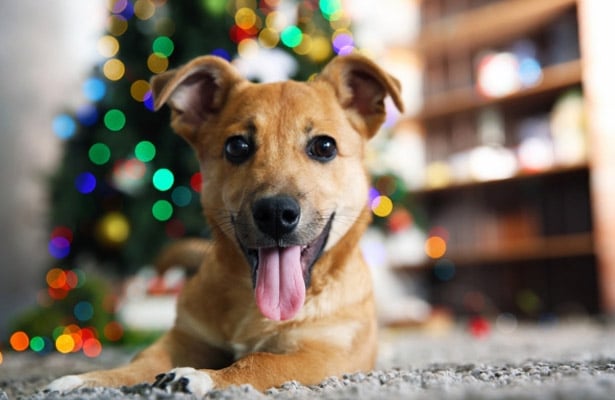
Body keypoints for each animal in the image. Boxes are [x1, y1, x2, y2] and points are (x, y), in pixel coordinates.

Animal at [46, 53, 403, 396]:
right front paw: (85, 381)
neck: (253, 305)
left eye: (324, 146)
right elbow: (140, 362)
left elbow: (259, 361)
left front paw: (202, 377)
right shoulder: (184, 339)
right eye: (236, 146)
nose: (276, 213)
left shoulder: (326, 355)